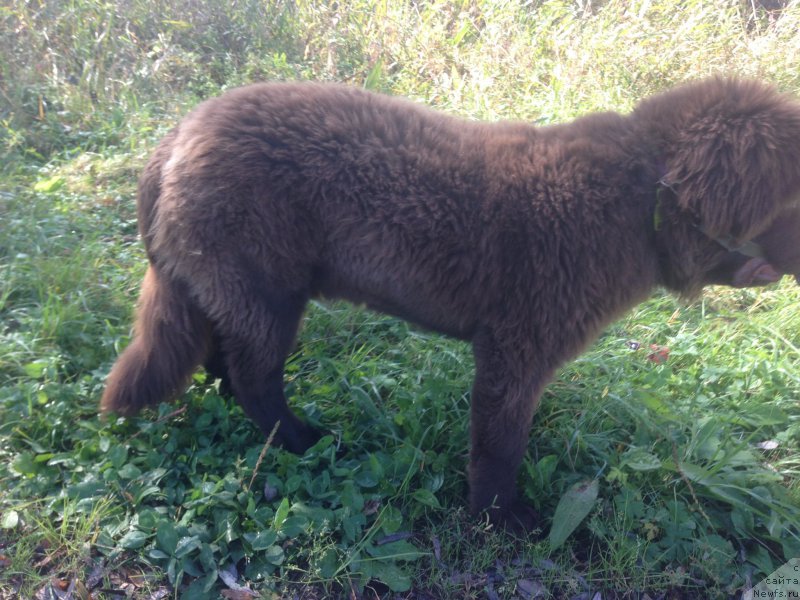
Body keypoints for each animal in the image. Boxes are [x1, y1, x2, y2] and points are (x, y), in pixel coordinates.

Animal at [103, 78, 800, 528]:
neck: (637, 200)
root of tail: (176, 138)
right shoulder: (517, 346)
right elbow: (499, 443)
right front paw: (501, 517)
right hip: (266, 288)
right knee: (254, 379)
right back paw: (303, 440)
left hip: (232, 285)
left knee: (223, 359)